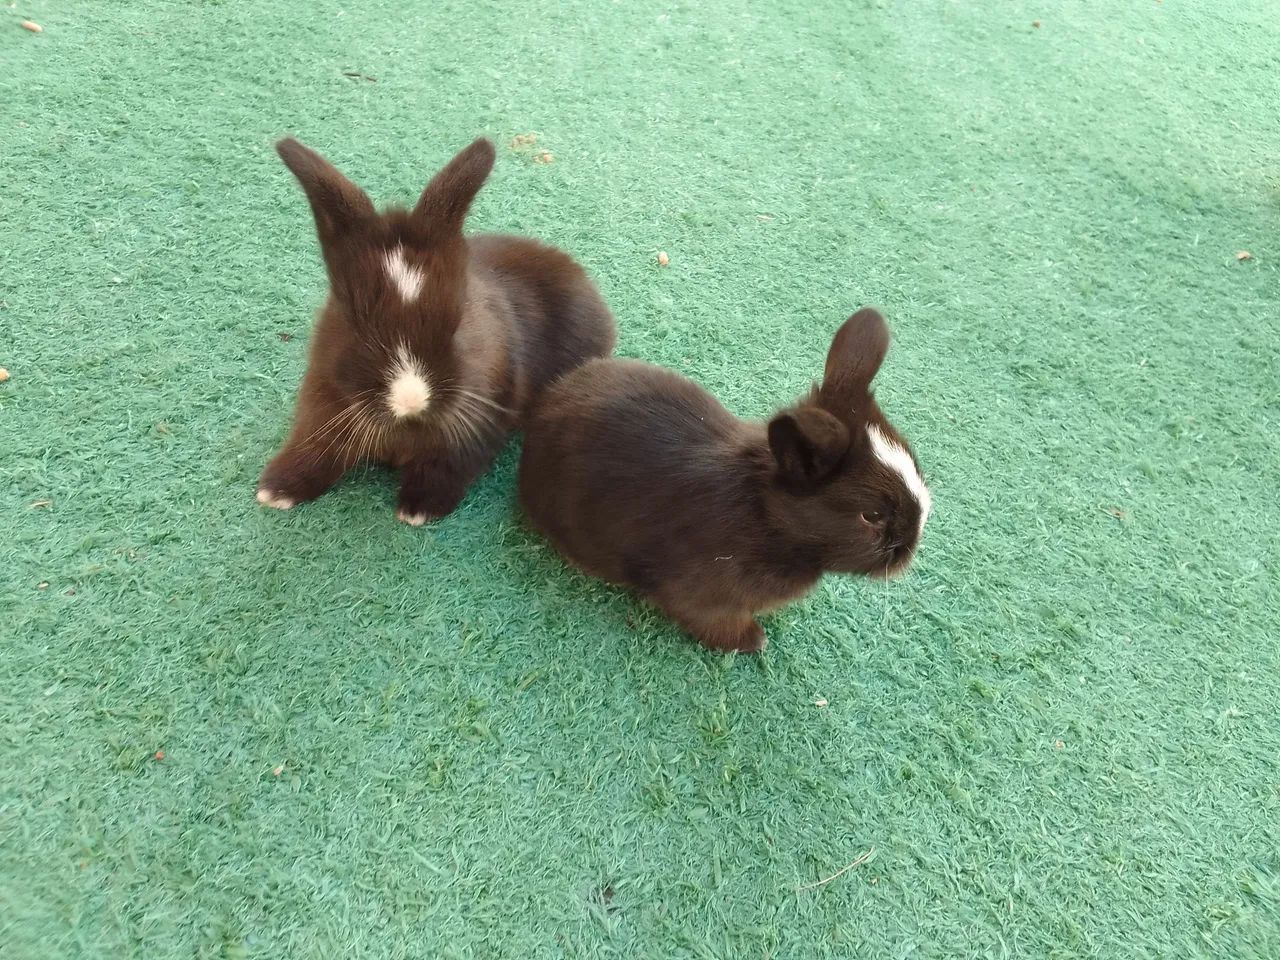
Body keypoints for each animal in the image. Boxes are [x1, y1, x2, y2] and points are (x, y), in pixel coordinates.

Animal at [256, 136, 616, 525]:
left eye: (457, 323)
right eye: (353, 323)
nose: (411, 399)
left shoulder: (477, 422)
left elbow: (446, 468)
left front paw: (417, 510)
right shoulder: (322, 411)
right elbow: (315, 450)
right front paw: (275, 491)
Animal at [517, 307, 930, 653]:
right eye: (871, 516)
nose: (910, 549)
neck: (766, 518)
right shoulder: (699, 598)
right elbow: (716, 622)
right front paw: (754, 640)